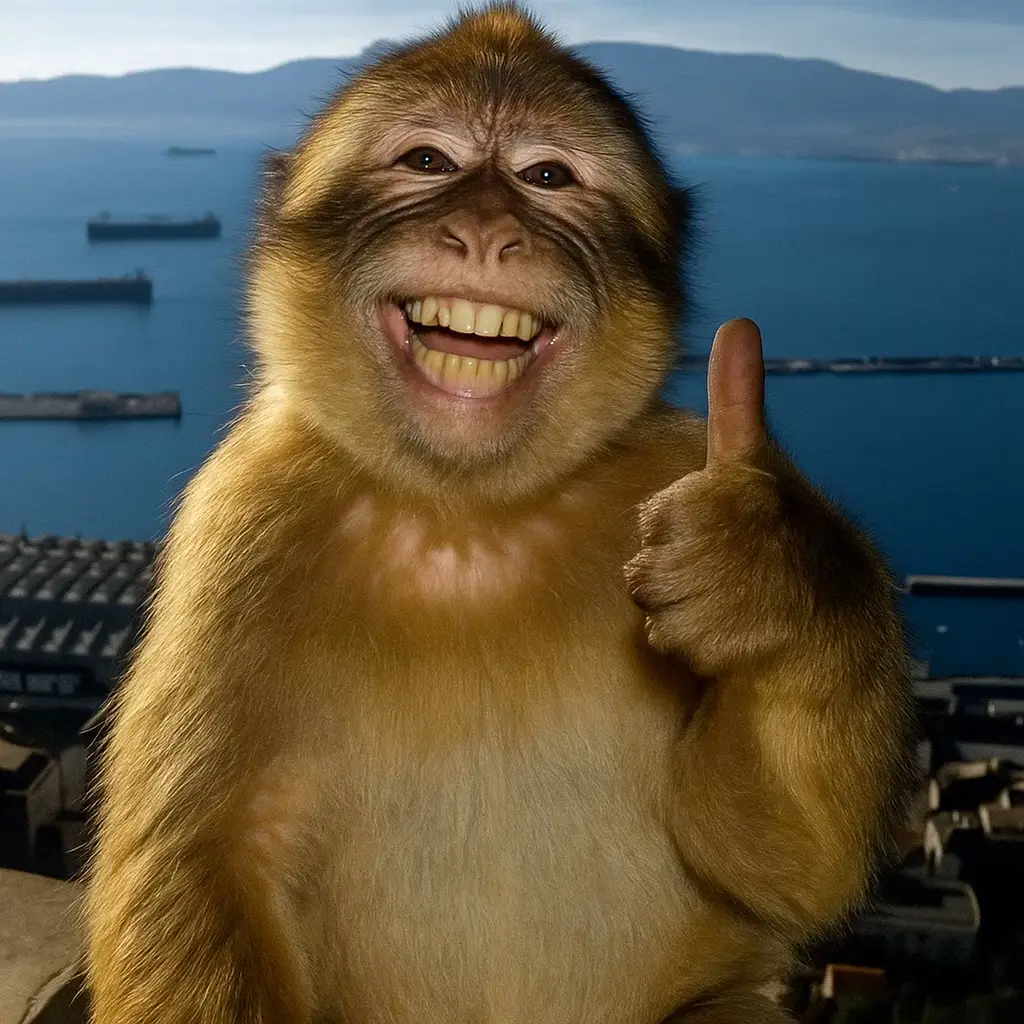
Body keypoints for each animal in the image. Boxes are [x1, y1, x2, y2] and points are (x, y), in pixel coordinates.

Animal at [84, 4, 917, 1023]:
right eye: (427, 161)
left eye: (547, 176)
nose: (484, 233)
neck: (468, 520)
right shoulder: (243, 519)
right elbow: (199, 866)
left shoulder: (668, 462)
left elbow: (772, 860)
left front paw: (762, 572)